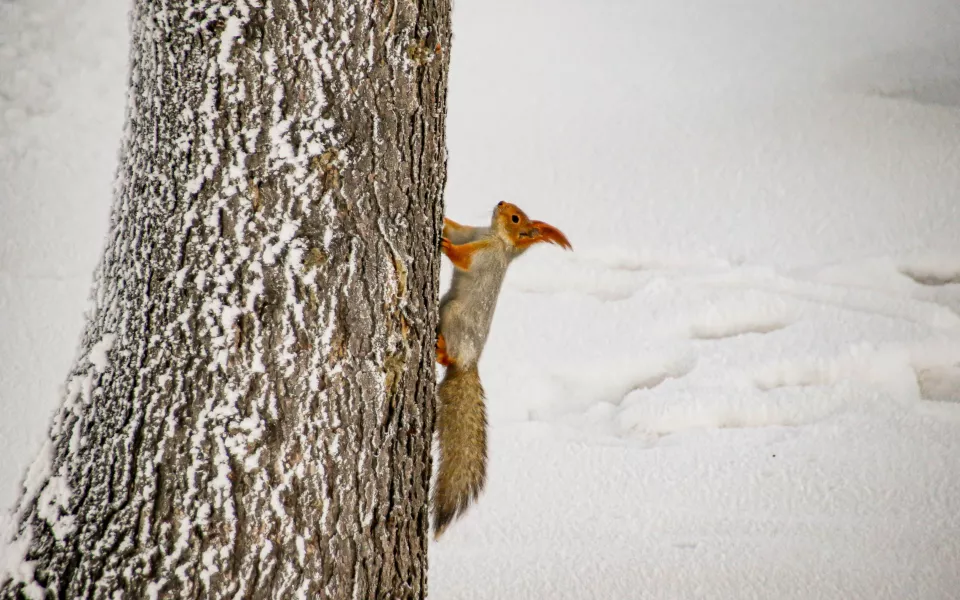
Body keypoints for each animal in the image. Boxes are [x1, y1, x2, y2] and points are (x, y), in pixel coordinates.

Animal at [434, 203, 568, 540]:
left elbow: (463, 258)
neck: (494, 236)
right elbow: (457, 228)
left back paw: (440, 349)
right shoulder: (473, 232)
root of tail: (469, 363)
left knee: (448, 356)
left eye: (516, 218)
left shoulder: (485, 255)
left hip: (454, 317)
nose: (501, 203)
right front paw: (444, 219)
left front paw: (446, 246)